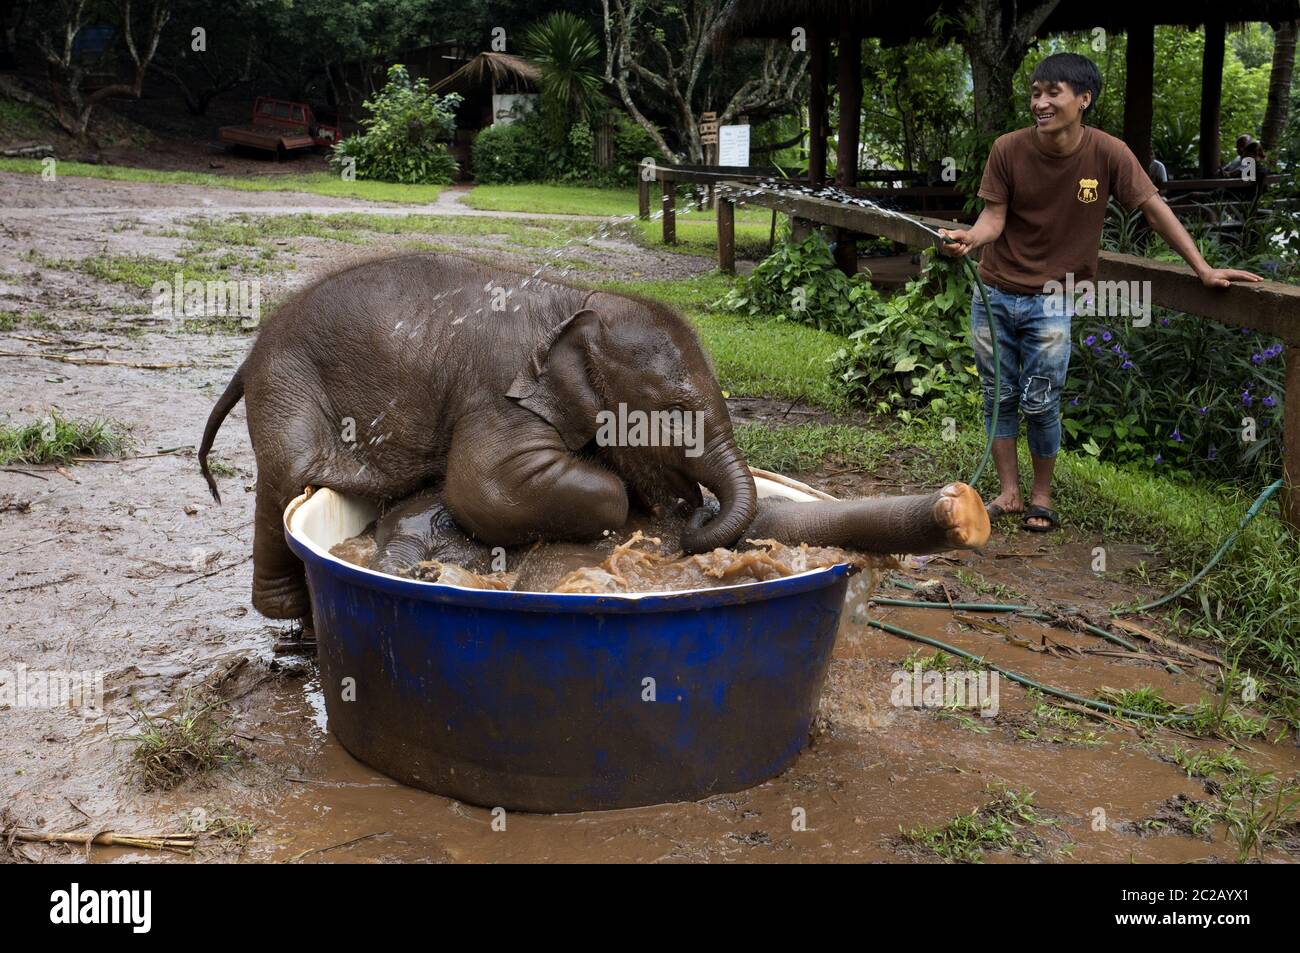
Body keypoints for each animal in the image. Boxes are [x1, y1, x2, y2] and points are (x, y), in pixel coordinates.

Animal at [199, 252, 989, 622]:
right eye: (674, 408)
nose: (691, 520)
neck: (574, 302)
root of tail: (251, 353)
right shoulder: (499, 392)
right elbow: (484, 484)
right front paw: (626, 508)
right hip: (288, 387)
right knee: (287, 480)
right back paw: (291, 617)